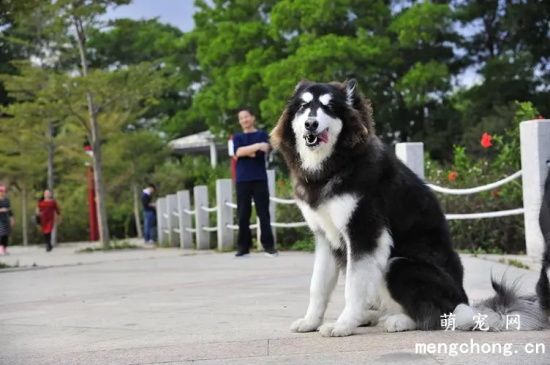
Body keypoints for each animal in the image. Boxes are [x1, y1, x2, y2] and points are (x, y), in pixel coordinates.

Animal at [272, 79, 550, 336]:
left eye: (329, 107)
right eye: (304, 106)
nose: (311, 124)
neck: (339, 163)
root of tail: (462, 302)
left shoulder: (364, 232)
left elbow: (353, 285)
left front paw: (343, 324)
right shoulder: (325, 236)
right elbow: (318, 285)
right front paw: (311, 321)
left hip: (400, 265)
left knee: (434, 317)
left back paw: (398, 321)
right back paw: (370, 316)